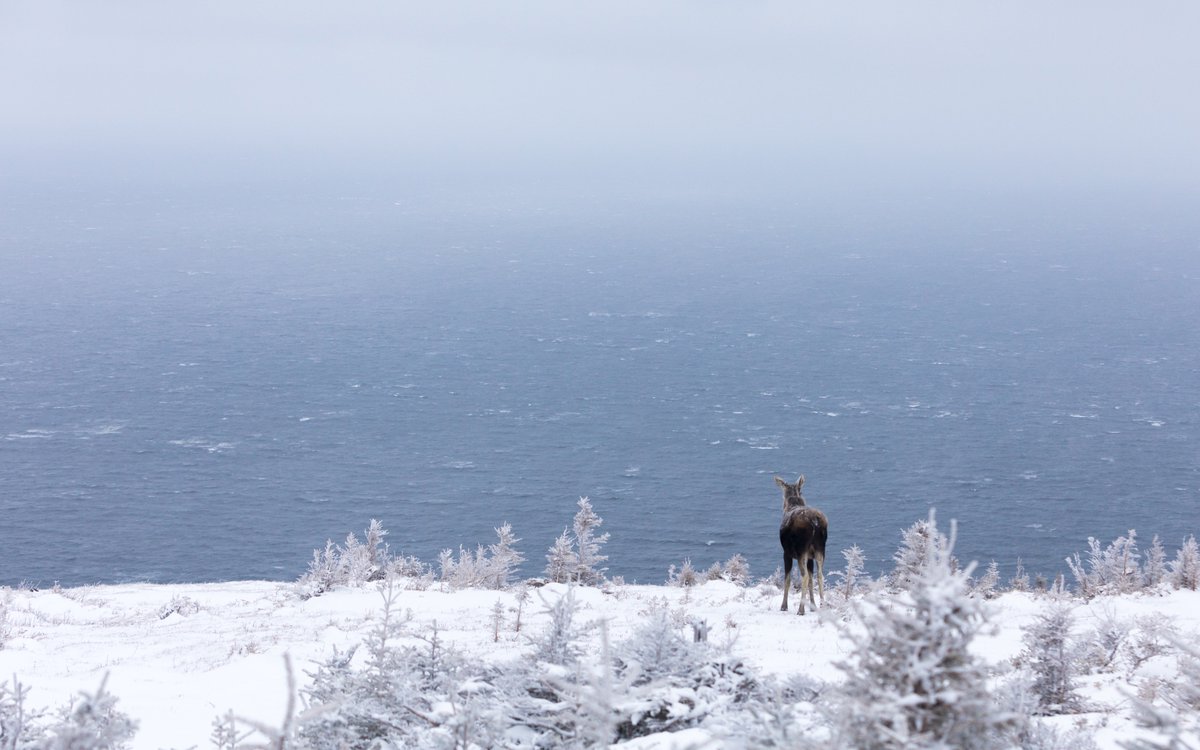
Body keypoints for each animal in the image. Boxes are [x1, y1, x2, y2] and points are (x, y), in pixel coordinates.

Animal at [776, 475, 828, 615]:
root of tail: (815, 522)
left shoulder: (786, 553)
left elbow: (787, 579)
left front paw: (784, 606)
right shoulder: (810, 556)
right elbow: (811, 580)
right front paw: (813, 605)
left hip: (801, 550)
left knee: (804, 577)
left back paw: (801, 609)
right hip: (820, 549)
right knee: (820, 575)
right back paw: (823, 605)